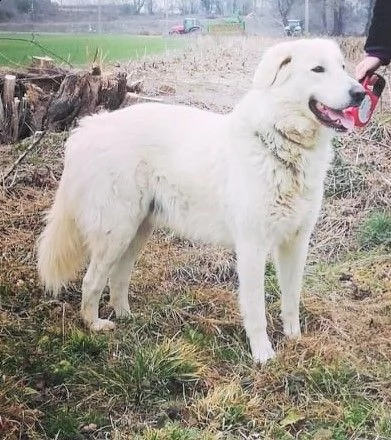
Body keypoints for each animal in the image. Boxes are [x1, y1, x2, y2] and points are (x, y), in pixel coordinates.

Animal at [36, 37, 364, 362]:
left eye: (342, 67)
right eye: (318, 69)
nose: (361, 93)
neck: (280, 144)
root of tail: (89, 126)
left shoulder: (296, 242)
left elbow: (292, 298)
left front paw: (295, 339)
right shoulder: (252, 247)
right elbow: (256, 309)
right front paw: (262, 354)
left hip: (137, 231)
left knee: (118, 277)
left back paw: (126, 316)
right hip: (115, 232)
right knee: (91, 281)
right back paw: (94, 325)